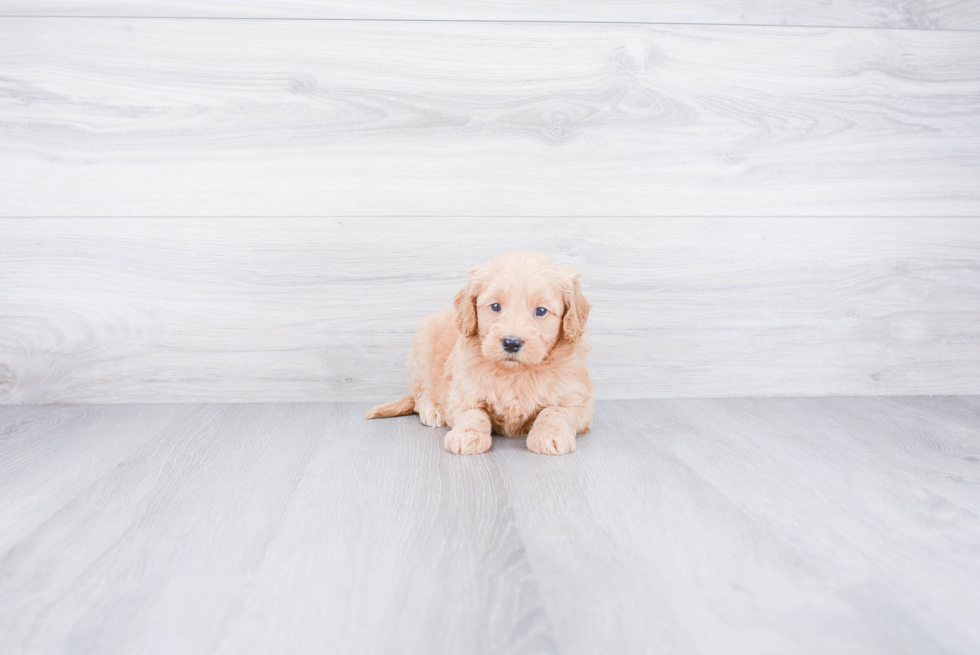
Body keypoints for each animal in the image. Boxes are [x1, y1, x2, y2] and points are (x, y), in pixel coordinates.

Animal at [366, 251, 588, 456]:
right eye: (495, 306)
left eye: (541, 311)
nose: (511, 343)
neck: (513, 372)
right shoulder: (462, 392)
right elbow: (473, 414)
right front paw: (467, 435)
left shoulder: (577, 398)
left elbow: (555, 411)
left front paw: (550, 435)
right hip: (423, 345)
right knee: (421, 393)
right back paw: (433, 409)